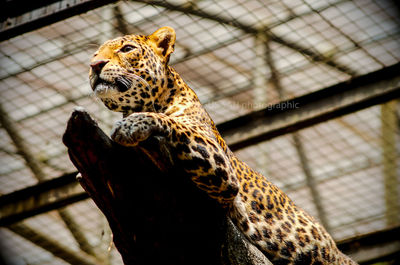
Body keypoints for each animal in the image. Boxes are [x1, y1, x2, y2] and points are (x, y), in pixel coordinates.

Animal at [90, 25, 356, 262]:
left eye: (127, 48)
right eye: (95, 54)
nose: (94, 65)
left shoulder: (221, 169)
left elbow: (172, 122)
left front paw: (130, 125)